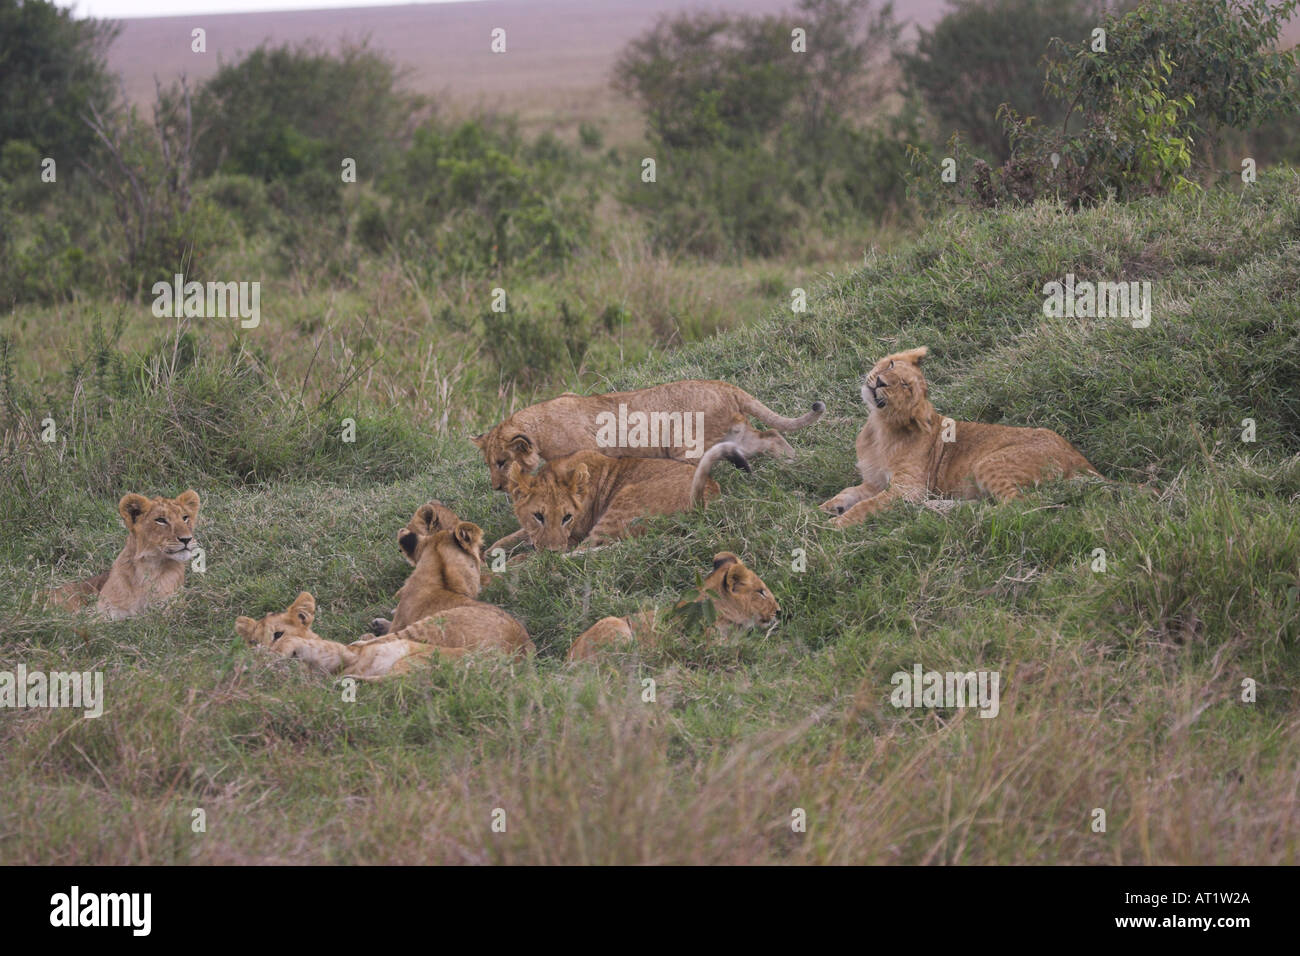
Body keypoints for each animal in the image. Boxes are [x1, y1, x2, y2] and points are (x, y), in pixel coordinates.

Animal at [46, 490, 201, 620]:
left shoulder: (170, 606)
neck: (149, 567)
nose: (187, 539)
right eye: (161, 520)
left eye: (185, 518)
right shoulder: (104, 610)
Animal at [472, 380, 824, 492]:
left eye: (501, 462)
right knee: (772, 436)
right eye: (490, 463)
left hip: (685, 446)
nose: (497, 487)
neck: (539, 428)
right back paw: (794, 463)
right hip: (738, 436)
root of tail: (724, 385)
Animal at [495, 440, 750, 555]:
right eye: (538, 516)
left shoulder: (575, 537)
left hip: (622, 503)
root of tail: (709, 494)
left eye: (567, 517)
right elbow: (510, 538)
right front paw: (493, 551)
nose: (552, 552)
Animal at [821, 347, 1100, 528]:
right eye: (890, 364)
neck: (878, 430)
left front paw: (834, 525)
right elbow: (849, 492)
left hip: (989, 463)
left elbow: (866, 505)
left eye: (905, 386)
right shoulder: (875, 482)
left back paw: (941, 511)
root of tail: (1081, 459)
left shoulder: (909, 488)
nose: (879, 381)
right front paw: (826, 508)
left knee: (1017, 505)